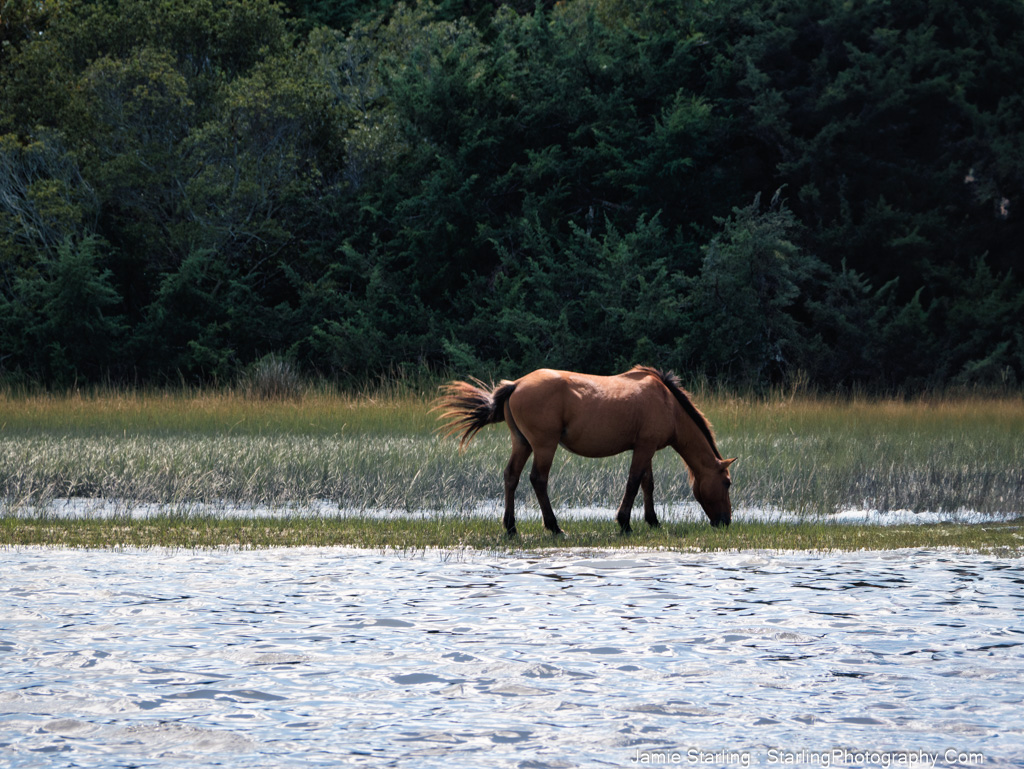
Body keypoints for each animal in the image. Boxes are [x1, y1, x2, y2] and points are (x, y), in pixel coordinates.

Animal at [434, 366, 737, 536]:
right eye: (727, 483)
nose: (725, 522)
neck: (668, 404)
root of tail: (516, 385)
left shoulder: (645, 447)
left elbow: (647, 484)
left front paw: (653, 521)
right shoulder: (644, 447)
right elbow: (633, 482)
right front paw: (624, 523)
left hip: (522, 442)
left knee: (511, 476)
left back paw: (511, 528)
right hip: (544, 445)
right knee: (538, 480)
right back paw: (554, 527)